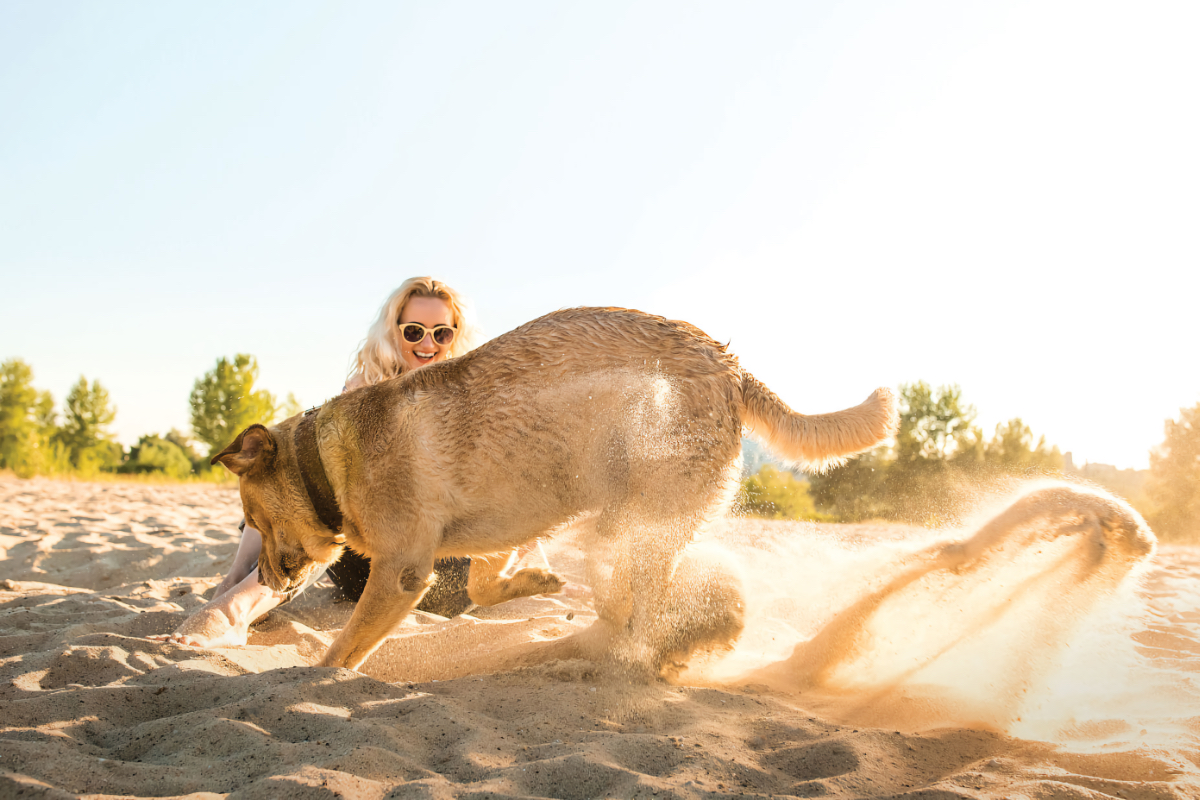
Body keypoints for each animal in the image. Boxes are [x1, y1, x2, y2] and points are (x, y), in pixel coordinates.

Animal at [211, 309, 897, 671]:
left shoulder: (401, 569)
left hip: (636, 522)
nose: (263, 578)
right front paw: (536, 583)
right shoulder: (493, 531)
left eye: (255, 518)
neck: (325, 463)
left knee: (644, 614)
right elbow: (485, 585)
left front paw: (312, 679)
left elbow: (342, 649)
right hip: (628, 528)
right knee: (632, 609)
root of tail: (730, 365)